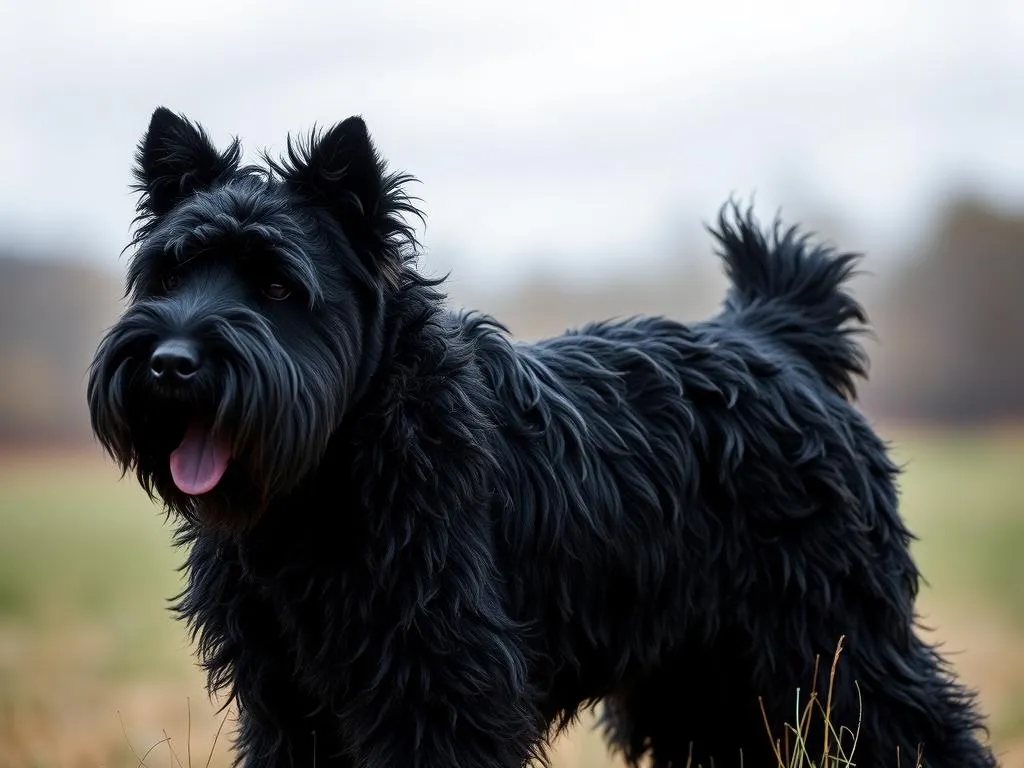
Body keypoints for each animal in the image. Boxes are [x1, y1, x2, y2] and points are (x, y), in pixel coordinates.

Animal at [83, 109, 995, 768]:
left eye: (277, 286)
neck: (337, 468)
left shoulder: (441, 683)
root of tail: (774, 335)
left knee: (926, 731)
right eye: (170, 273)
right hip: (700, 680)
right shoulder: (285, 698)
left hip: (838, 647)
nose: (170, 364)